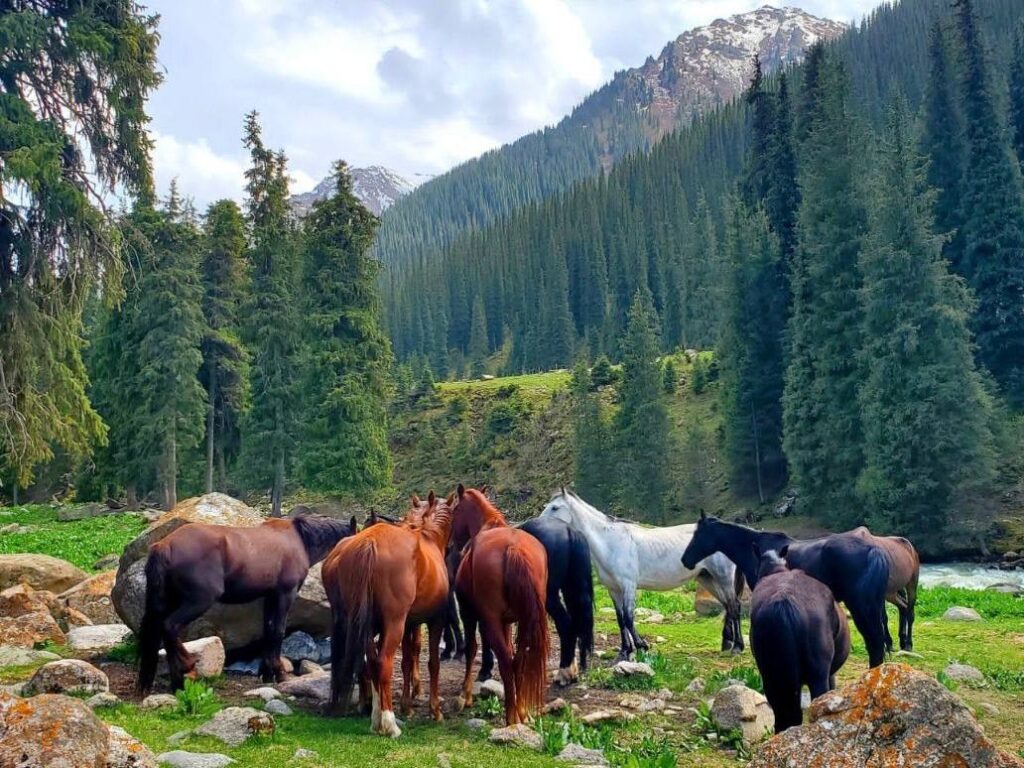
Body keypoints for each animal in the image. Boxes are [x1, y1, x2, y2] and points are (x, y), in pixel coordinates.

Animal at [137, 513, 356, 693]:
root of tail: (165, 545)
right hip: (198, 601)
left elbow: (269, 630)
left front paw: (267, 673)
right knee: (170, 626)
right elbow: (278, 631)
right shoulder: (285, 594)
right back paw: (187, 666)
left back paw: (176, 684)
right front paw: (280, 674)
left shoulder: (270, 596)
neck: (298, 540)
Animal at [323, 491, 453, 738]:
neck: (428, 537)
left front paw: (407, 705)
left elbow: (408, 660)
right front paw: (435, 711)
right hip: (393, 623)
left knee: (371, 662)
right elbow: (432, 663)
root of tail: (370, 542)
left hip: (363, 624)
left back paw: (374, 717)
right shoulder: (435, 621)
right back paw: (388, 723)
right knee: (383, 663)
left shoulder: (408, 623)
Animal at [453, 484, 550, 725]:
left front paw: (465, 695)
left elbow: (471, 648)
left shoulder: (468, 613)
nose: (454, 543)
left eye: (454, 509)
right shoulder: (507, 621)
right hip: (524, 621)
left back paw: (511, 717)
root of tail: (513, 548)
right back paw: (521, 711)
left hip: (491, 620)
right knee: (519, 658)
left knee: (506, 659)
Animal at [539, 489, 745, 658]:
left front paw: (641, 646)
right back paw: (726, 643)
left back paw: (737, 647)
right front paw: (625, 651)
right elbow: (620, 619)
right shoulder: (614, 589)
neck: (610, 542)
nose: (537, 525)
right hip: (708, 578)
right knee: (728, 605)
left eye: (555, 508)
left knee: (734, 606)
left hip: (723, 577)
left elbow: (629, 617)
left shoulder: (629, 586)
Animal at [680, 513, 891, 667]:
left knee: (874, 642)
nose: (685, 560)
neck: (756, 549)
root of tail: (873, 550)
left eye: (697, 535)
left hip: (860, 607)